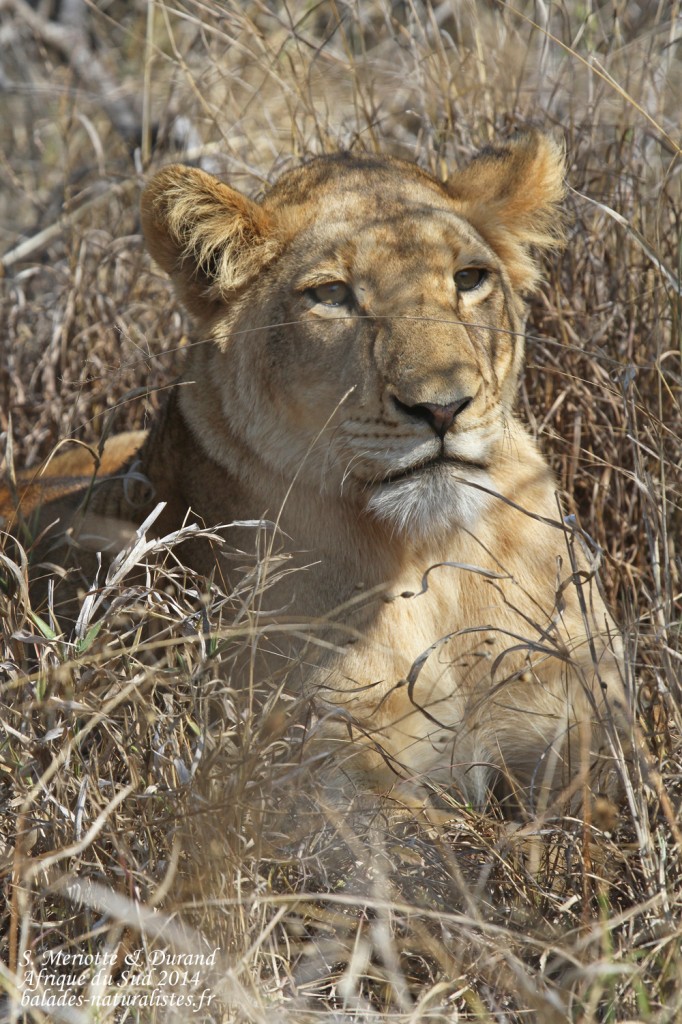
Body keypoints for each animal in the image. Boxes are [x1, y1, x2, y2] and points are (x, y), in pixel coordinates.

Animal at [1, 133, 628, 813]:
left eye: (469, 279)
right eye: (331, 295)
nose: (442, 408)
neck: (435, 558)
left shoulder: (591, 746)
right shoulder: (327, 782)